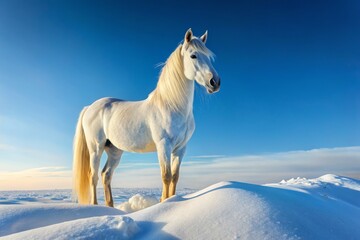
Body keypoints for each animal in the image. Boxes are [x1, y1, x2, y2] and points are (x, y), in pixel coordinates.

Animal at [72, 29, 219, 207]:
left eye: (209, 57)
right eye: (193, 55)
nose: (215, 82)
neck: (172, 105)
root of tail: (89, 107)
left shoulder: (180, 148)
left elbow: (175, 177)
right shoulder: (164, 145)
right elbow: (166, 176)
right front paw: (164, 203)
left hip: (114, 151)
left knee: (106, 175)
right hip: (96, 148)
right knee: (92, 176)